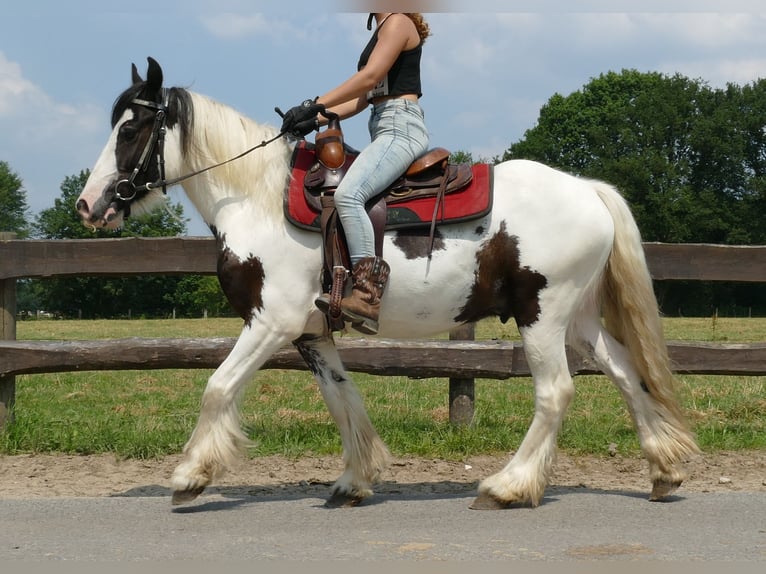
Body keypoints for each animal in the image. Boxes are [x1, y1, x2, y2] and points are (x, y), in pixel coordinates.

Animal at [75, 57, 700, 508]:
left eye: (132, 129)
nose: (88, 205)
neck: (258, 200)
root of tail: (588, 190)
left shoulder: (270, 322)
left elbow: (218, 387)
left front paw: (189, 476)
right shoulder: (311, 331)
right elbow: (343, 398)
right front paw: (355, 480)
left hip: (542, 314)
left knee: (556, 393)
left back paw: (509, 486)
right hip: (579, 319)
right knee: (626, 374)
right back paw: (664, 469)